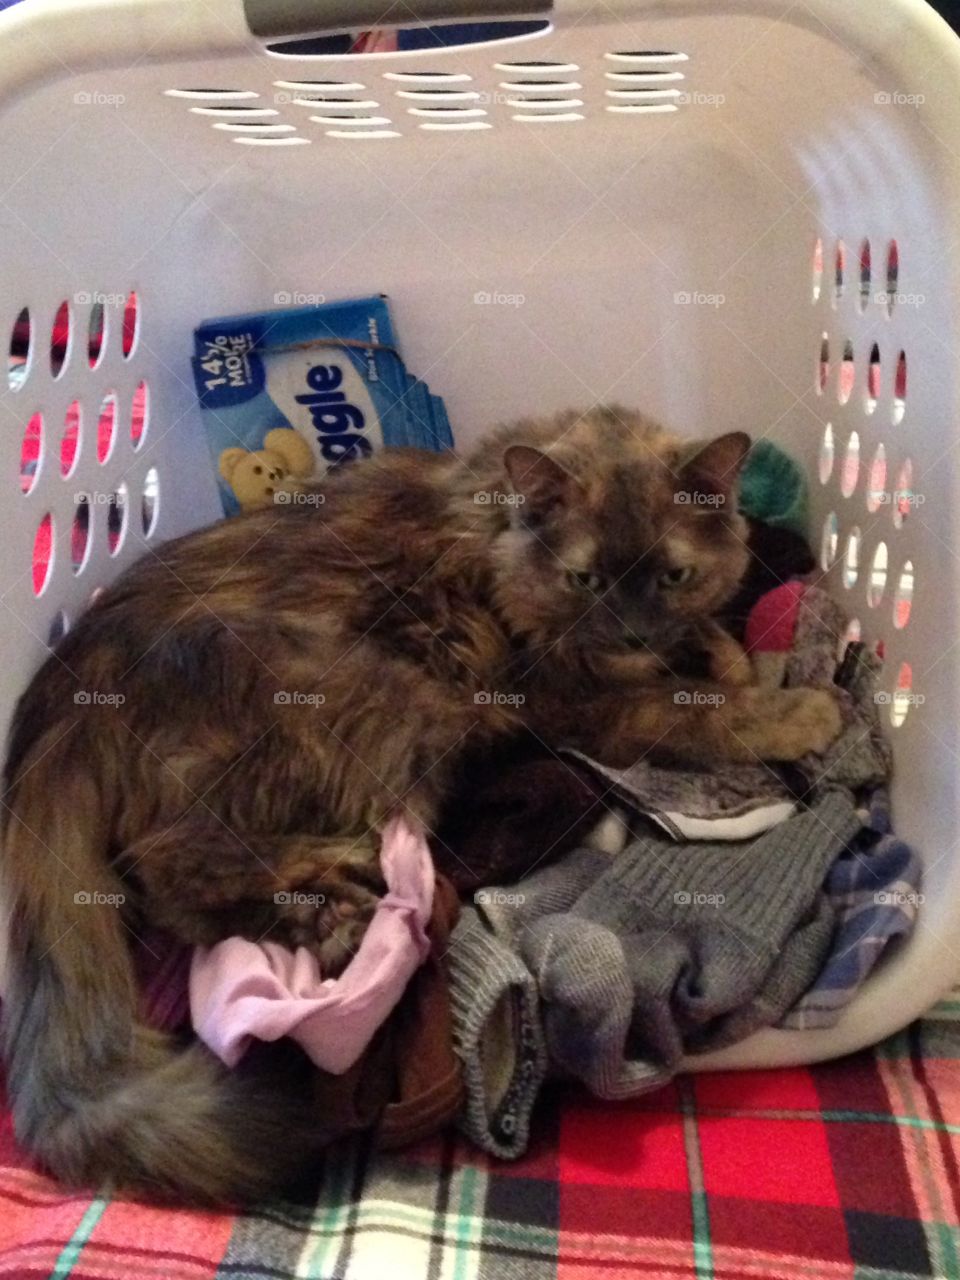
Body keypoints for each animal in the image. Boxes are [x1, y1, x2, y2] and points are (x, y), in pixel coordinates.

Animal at [0, 404, 839, 1203]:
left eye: (671, 576)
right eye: (585, 582)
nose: (631, 634)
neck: (494, 530)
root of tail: (66, 692)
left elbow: (716, 656)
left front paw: (731, 661)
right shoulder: (572, 703)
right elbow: (693, 712)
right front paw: (799, 714)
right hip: (372, 696)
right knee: (170, 867)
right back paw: (338, 900)